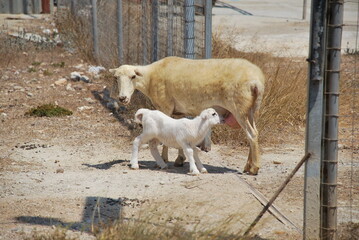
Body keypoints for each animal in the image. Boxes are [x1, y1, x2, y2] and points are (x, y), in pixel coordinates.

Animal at [111, 57, 266, 175]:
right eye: (116, 78)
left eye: (133, 76)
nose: (122, 98)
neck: (150, 77)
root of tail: (257, 81)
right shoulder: (179, 112)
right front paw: (180, 159)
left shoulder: (165, 106)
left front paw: (165, 158)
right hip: (252, 110)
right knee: (255, 134)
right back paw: (248, 165)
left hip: (239, 108)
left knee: (251, 134)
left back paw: (254, 168)